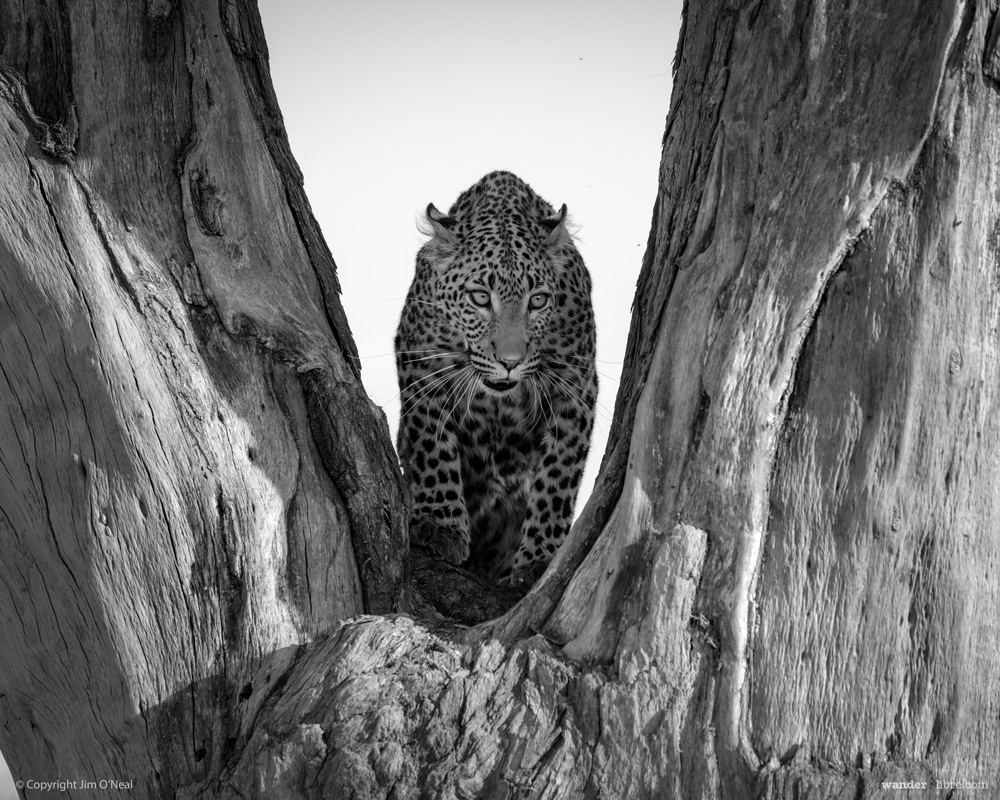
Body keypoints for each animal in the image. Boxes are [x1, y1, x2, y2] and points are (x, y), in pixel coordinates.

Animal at [394, 172, 596, 588]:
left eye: (538, 301)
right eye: (479, 297)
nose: (510, 362)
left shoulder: (576, 385)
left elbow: (559, 474)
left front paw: (541, 559)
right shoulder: (421, 364)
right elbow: (431, 446)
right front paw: (440, 526)